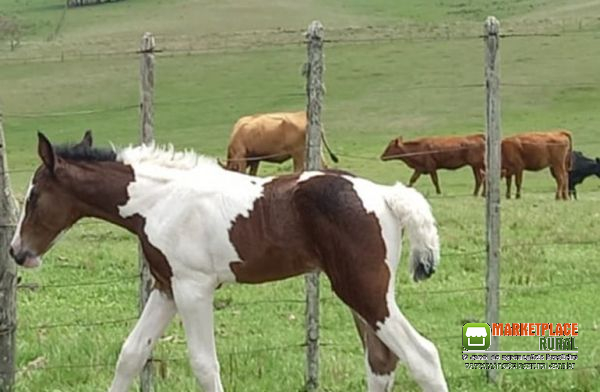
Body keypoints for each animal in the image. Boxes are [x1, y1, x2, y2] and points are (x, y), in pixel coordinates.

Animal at [9, 132, 448, 392]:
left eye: (34, 196)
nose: (17, 252)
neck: (160, 201)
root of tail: (385, 195)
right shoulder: (167, 288)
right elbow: (131, 354)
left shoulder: (193, 288)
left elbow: (204, 365)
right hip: (364, 293)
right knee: (381, 360)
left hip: (365, 290)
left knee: (423, 356)